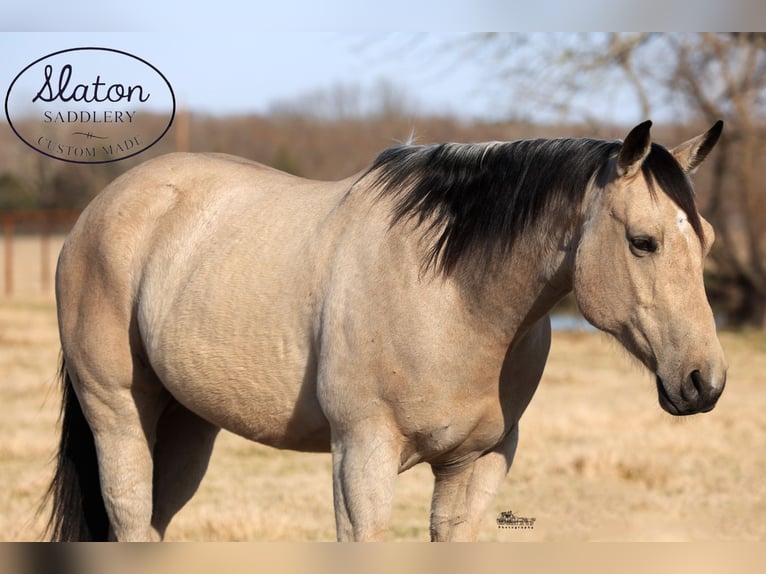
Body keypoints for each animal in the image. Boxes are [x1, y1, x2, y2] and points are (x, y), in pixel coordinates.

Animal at [45, 119, 728, 544]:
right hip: (119, 414)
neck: (453, 298)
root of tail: (99, 211)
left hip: (186, 425)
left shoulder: (476, 466)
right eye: (643, 241)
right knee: (130, 516)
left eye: (709, 240)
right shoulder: (361, 459)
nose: (706, 381)